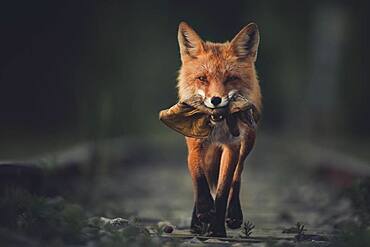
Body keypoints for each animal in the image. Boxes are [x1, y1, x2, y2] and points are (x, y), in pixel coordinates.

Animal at [177, 22, 262, 236]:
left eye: (231, 78)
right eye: (202, 78)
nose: (216, 100)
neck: (217, 128)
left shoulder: (231, 147)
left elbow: (223, 190)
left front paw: (217, 230)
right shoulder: (195, 143)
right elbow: (199, 176)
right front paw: (205, 211)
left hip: (248, 141)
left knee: (238, 174)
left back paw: (233, 215)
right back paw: (197, 223)